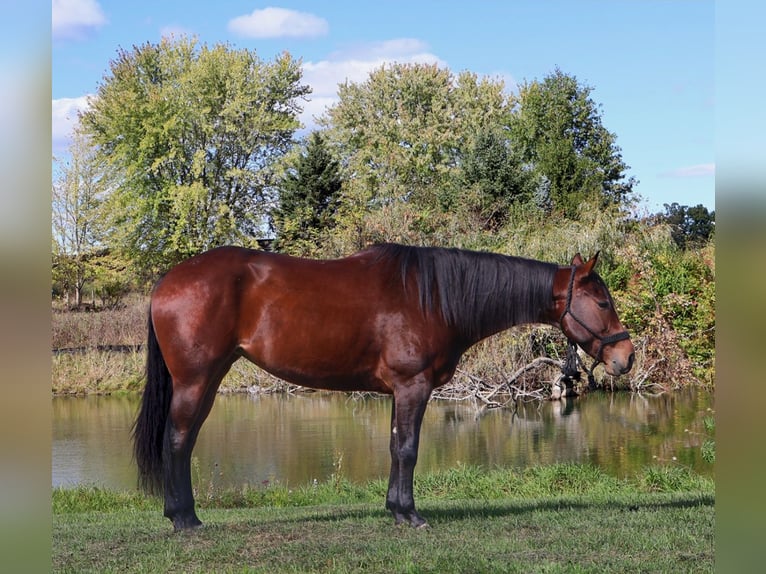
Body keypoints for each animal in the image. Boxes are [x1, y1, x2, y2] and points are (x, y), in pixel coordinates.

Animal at [133, 243, 634, 530]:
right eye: (602, 302)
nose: (625, 357)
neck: (434, 297)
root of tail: (168, 280)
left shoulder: (400, 392)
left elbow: (395, 448)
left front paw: (395, 509)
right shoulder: (414, 387)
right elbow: (408, 449)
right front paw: (410, 515)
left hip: (209, 379)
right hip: (195, 381)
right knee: (177, 441)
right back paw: (184, 519)